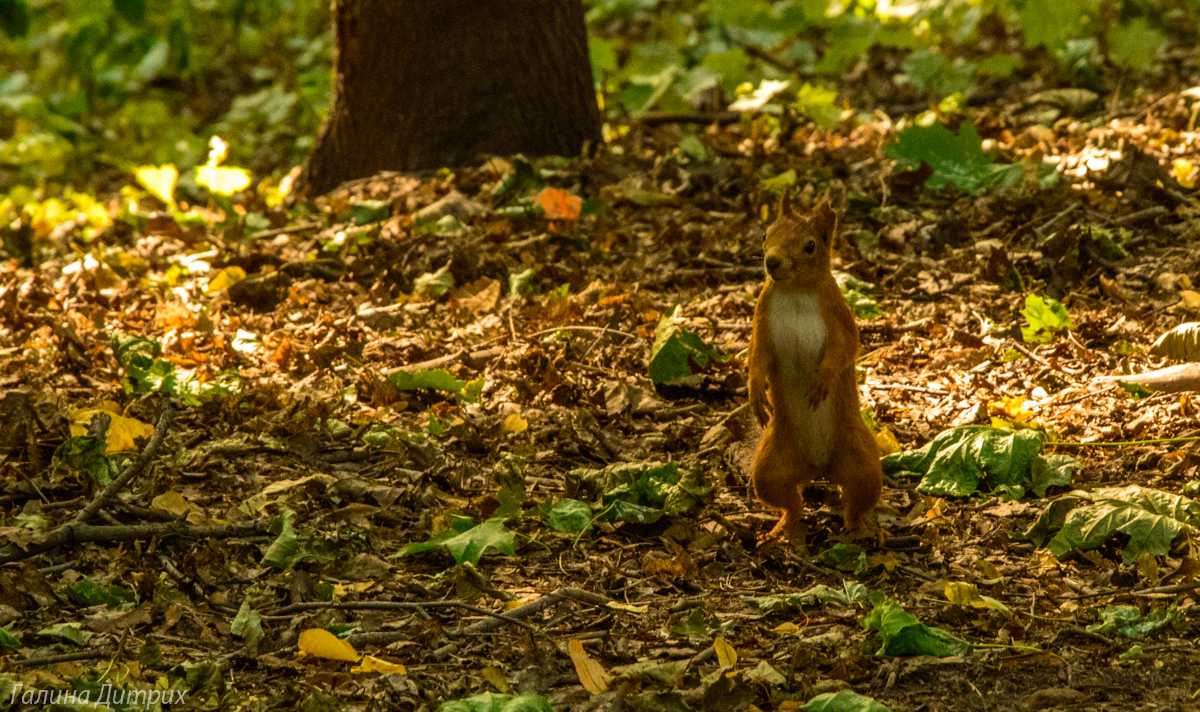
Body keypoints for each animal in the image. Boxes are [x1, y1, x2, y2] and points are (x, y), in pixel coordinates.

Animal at [748, 186, 883, 535]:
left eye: (810, 245)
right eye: (765, 234)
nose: (772, 262)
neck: (795, 289)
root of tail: (819, 467)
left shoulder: (838, 314)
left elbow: (845, 349)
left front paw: (823, 379)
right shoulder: (761, 317)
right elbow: (757, 356)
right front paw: (755, 393)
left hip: (861, 460)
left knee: (858, 499)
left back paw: (857, 528)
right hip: (770, 466)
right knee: (788, 500)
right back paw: (783, 528)